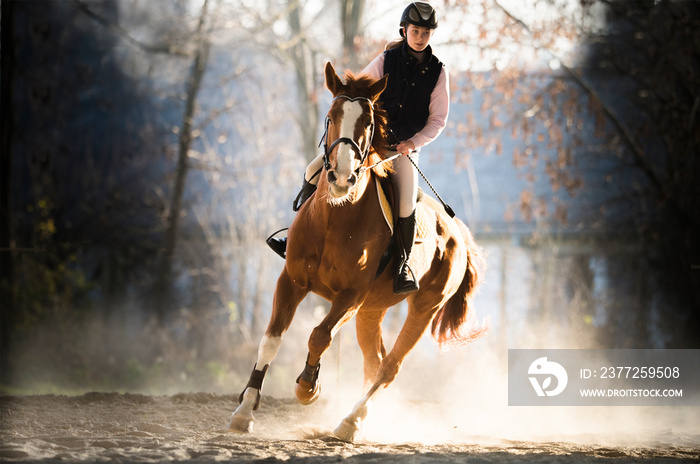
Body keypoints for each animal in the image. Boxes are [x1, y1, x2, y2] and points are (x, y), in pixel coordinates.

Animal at [230, 62, 486, 442]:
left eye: (368, 123)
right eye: (331, 116)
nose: (341, 177)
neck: (334, 217)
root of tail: (458, 235)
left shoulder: (350, 295)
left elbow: (320, 334)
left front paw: (308, 387)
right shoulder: (291, 281)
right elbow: (271, 340)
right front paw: (245, 411)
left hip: (423, 308)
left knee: (390, 366)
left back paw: (350, 422)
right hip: (372, 311)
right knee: (375, 361)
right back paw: (356, 418)